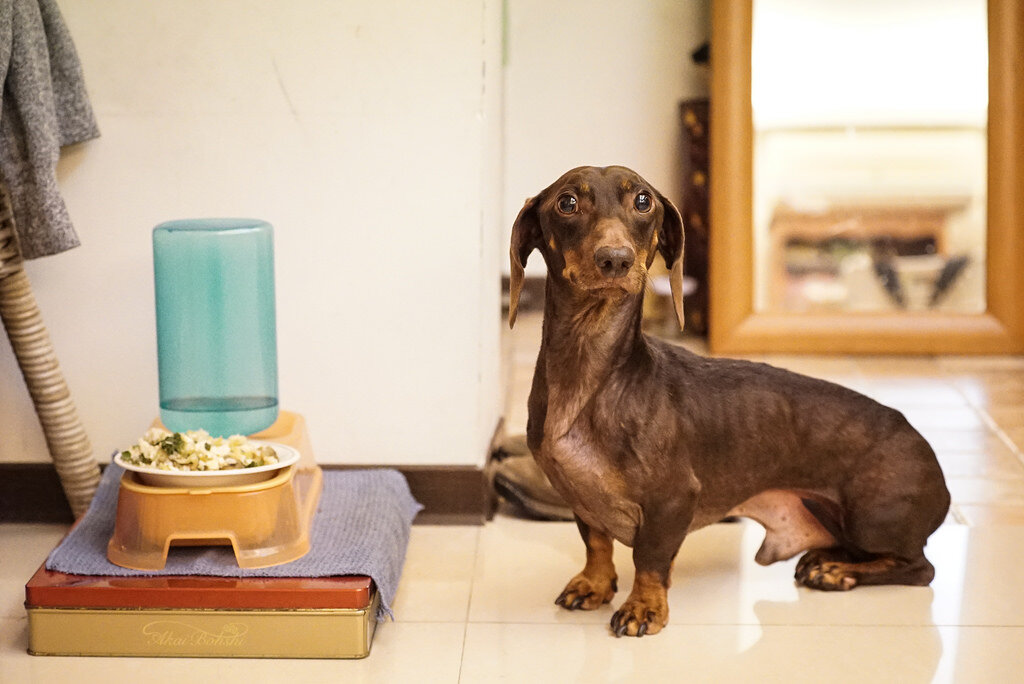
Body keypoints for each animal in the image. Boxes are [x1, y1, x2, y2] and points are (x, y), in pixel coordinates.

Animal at [507, 163, 946, 634]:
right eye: (567, 202)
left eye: (643, 201)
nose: (615, 259)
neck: (591, 376)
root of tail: (928, 453)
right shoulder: (579, 496)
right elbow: (596, 543)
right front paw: (594, 583)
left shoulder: (674, 500)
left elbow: (649, 559)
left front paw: (644, 607)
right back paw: (825, 560)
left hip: (873, 519)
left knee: (918, 567)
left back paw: (836, 571)